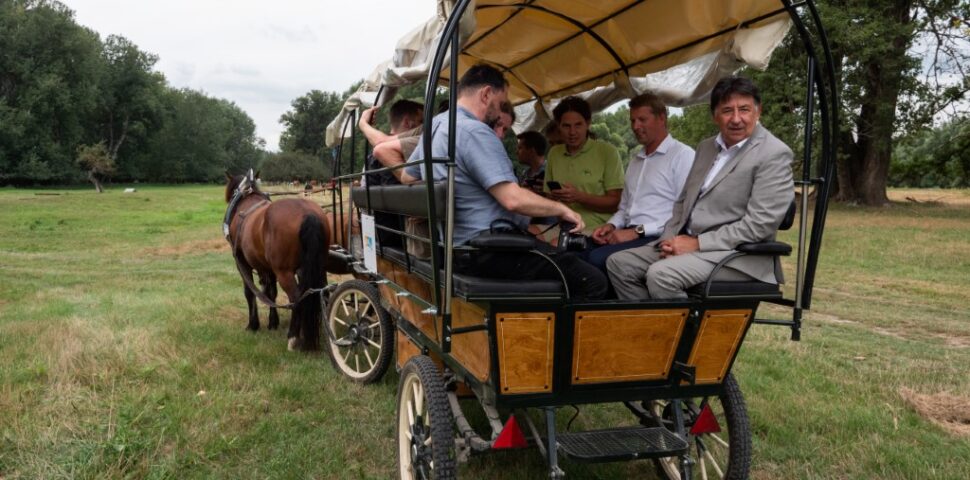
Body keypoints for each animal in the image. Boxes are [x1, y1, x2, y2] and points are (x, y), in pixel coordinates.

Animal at [223, 171, 328, 350]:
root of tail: (308, 213)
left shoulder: (242, 263)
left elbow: (250, 292)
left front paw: (253, 325)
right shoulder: (268, 268)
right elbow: (271, 292)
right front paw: (273, 322)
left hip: (284, 272)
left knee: (296, 298)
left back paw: (293, 337)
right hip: (316, 267)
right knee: (317, 293)